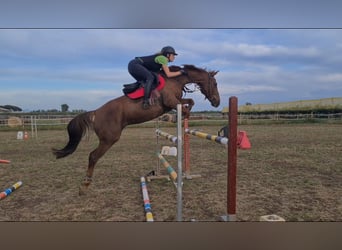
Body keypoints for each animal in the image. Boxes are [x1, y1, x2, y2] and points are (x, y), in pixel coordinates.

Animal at [52, 64, 220, 193]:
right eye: (215, 84)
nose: (217, 102)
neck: (175, 80)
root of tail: (95, 112)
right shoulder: (171, 102)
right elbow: (186, 108)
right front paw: (174, 118)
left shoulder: (176, 101)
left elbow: (190, 101)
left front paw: (173, 117)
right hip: (109, 139)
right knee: (93, 156)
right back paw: (85, 185)